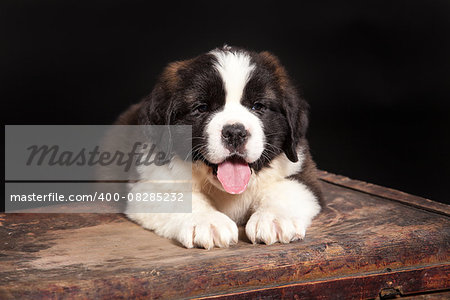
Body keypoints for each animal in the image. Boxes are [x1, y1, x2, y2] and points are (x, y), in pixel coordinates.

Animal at [115, 46, 320, 248]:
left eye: (258, 106)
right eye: (202, 108)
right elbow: (181, 196)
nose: (235, 132)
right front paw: (207, 221)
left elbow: (285, 189)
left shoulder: (302, 170)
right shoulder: (149, 185)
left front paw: (274, 218)